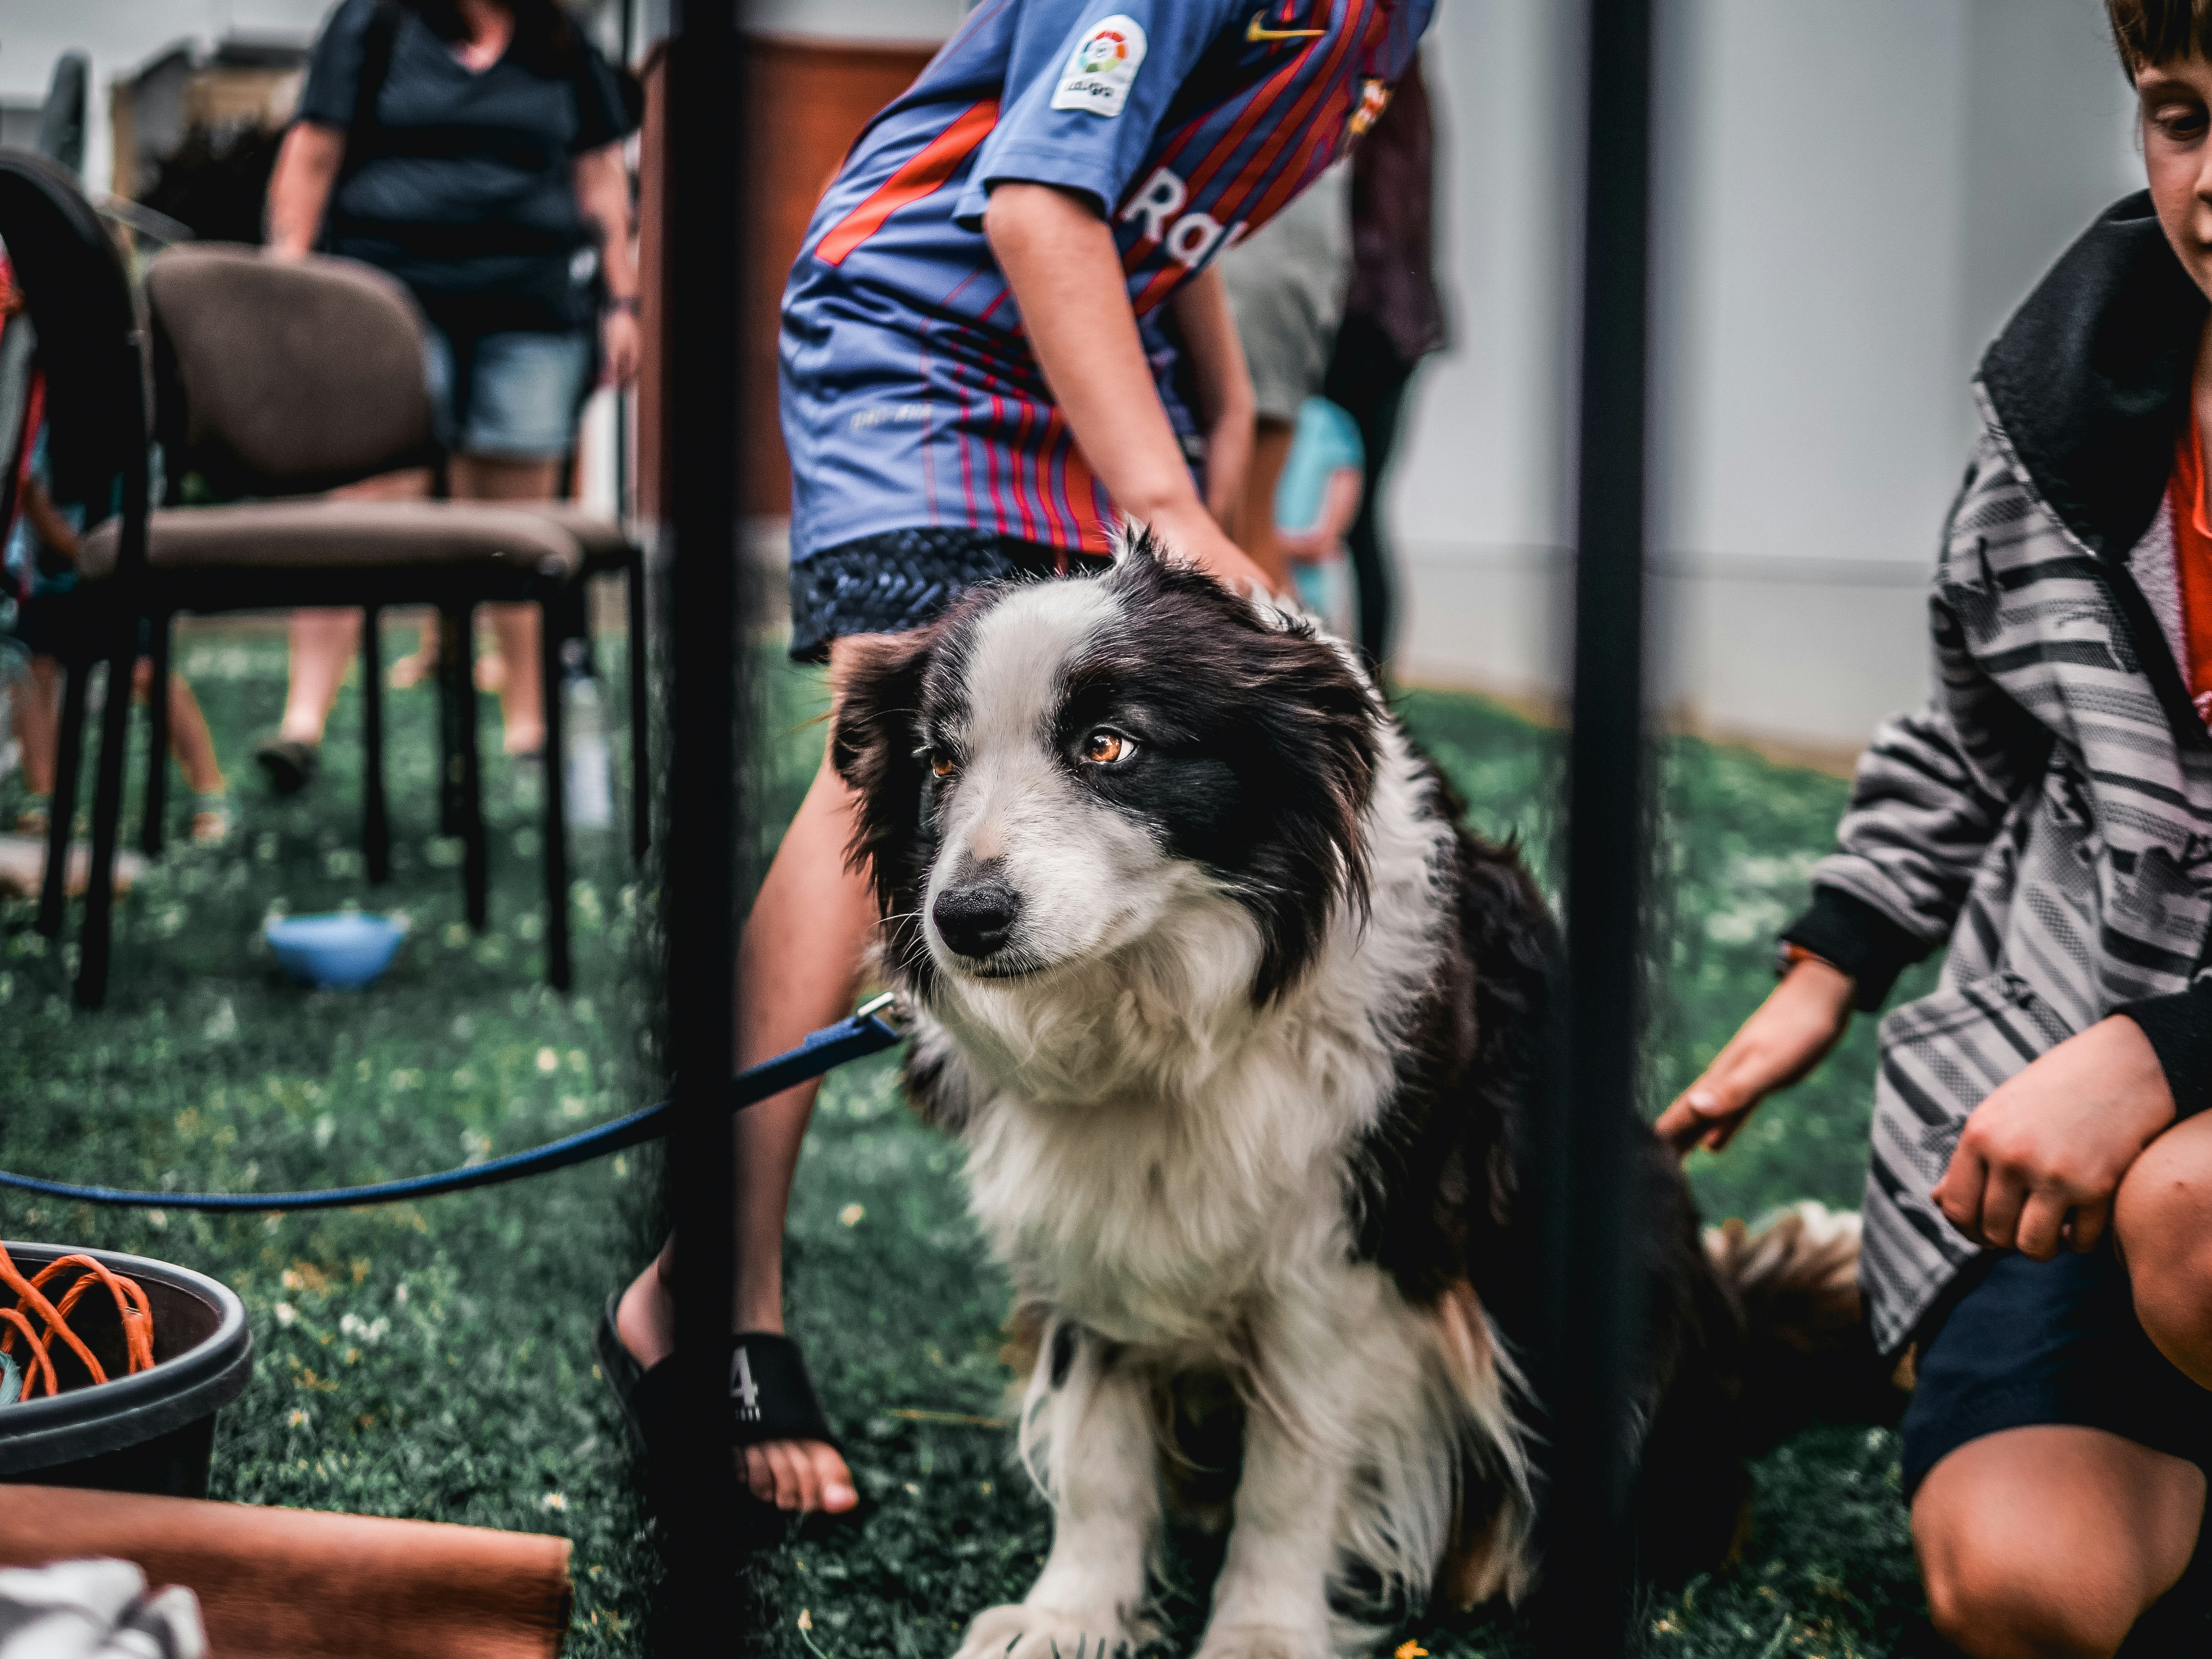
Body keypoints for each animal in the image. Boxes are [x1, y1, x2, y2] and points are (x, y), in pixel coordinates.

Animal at [832, 535, 1885, 1659]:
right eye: (940, 763)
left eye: (1109, 746)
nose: (963, 917)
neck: (1159, 1015)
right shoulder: (1085, 1215)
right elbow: (1097, 1446)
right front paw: (1070, 1614)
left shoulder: (1353, 1246)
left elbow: (1294, 1471)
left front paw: (1258, 1632)